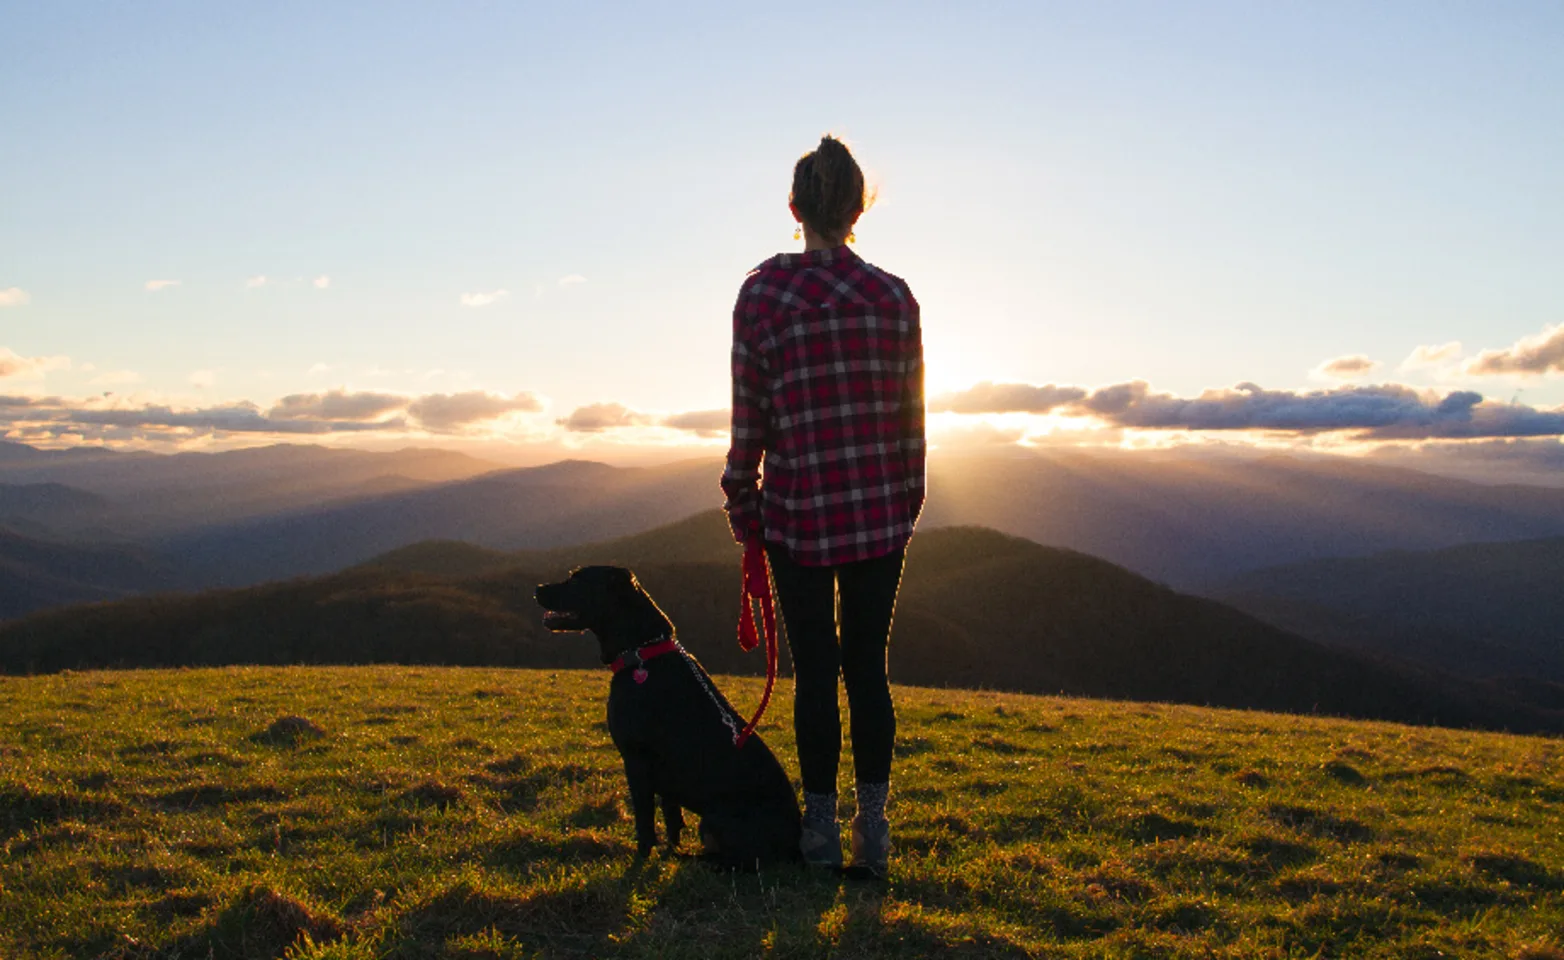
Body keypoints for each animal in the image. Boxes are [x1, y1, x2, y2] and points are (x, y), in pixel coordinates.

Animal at [541, 562, 807, 875]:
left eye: (577, 580)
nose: (538, 589)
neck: (642, 651)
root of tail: (796, 848)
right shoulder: (666, 775)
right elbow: (672, 820)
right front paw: (670, 850)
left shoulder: (637, 760)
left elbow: (645, 822)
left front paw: (641, 859)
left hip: (714, 818)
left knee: (735, 862)